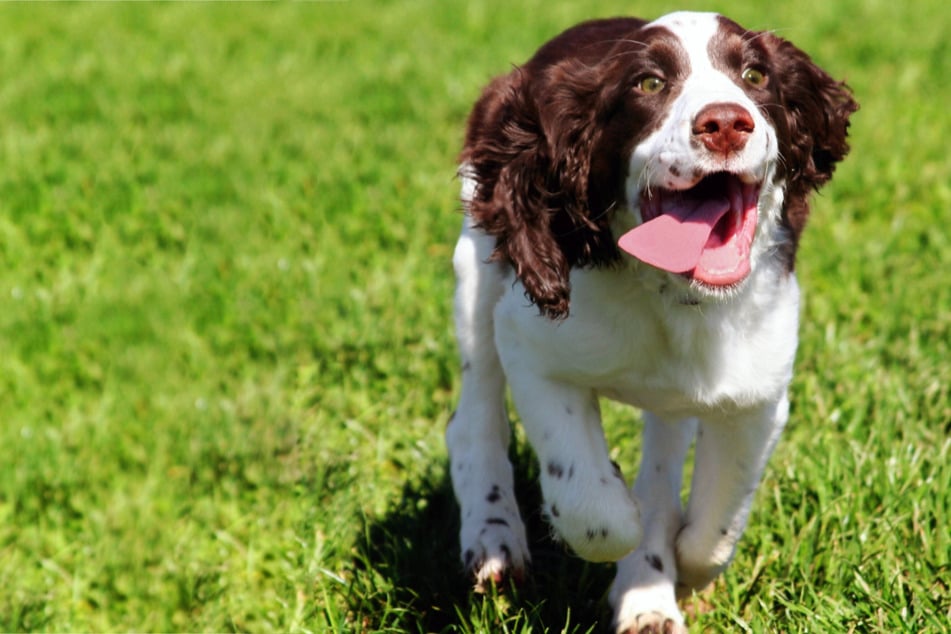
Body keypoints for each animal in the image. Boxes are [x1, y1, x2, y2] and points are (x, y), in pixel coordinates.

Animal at [446, 11, 856, 632]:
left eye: (755, 75)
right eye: (648, 84)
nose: (726, 123)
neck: (671, 295)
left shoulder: (757, 392)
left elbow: (713, 531)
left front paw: (667, 570)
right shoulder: (532, 346)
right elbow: (596, 511)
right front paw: (621, 514)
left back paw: (649, 596)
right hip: (478, 262)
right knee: (472, 419)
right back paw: (494, 542)